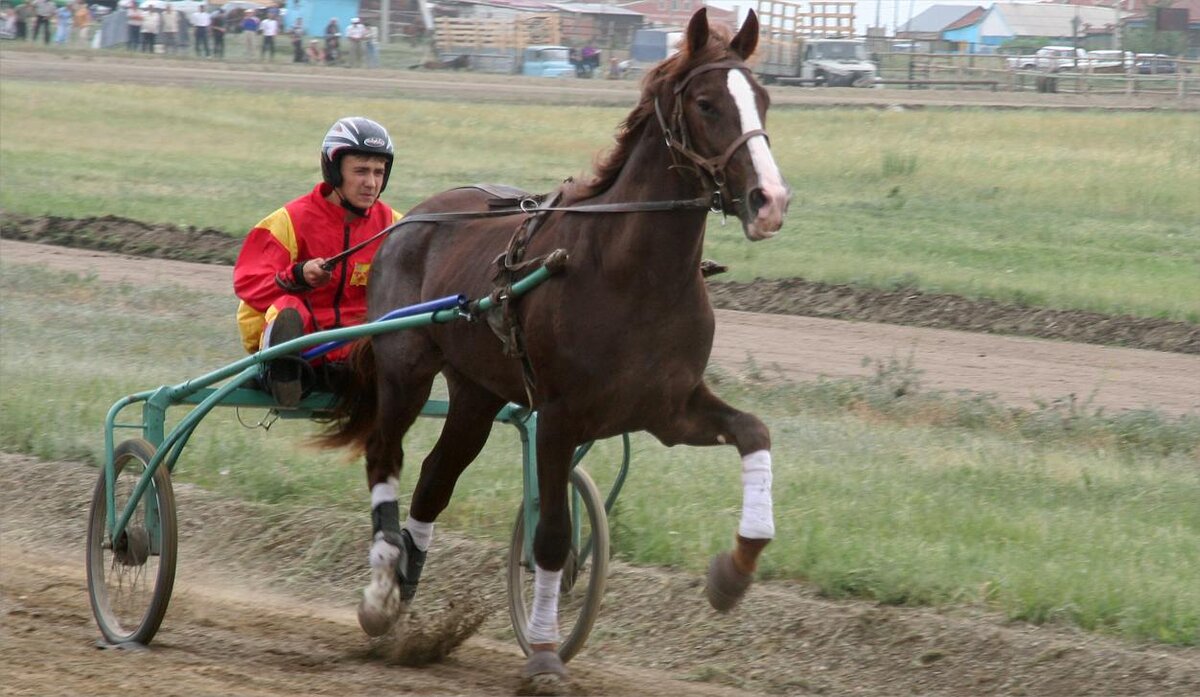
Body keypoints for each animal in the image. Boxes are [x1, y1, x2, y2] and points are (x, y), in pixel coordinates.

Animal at [321, 8, 787, 686]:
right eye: (706, 103)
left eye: (764, 99)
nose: (769, 200)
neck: (632, 274)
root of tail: (412, 220)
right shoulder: (560, 417)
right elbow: (553, 536)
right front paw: (543, 648)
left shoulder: (669, 410)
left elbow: (754, 432)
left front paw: (735, 569)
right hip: (405, 366)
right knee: (385, 455)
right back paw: (383, 590)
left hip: (476, 393)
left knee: (435, 479)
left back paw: (407, 580)